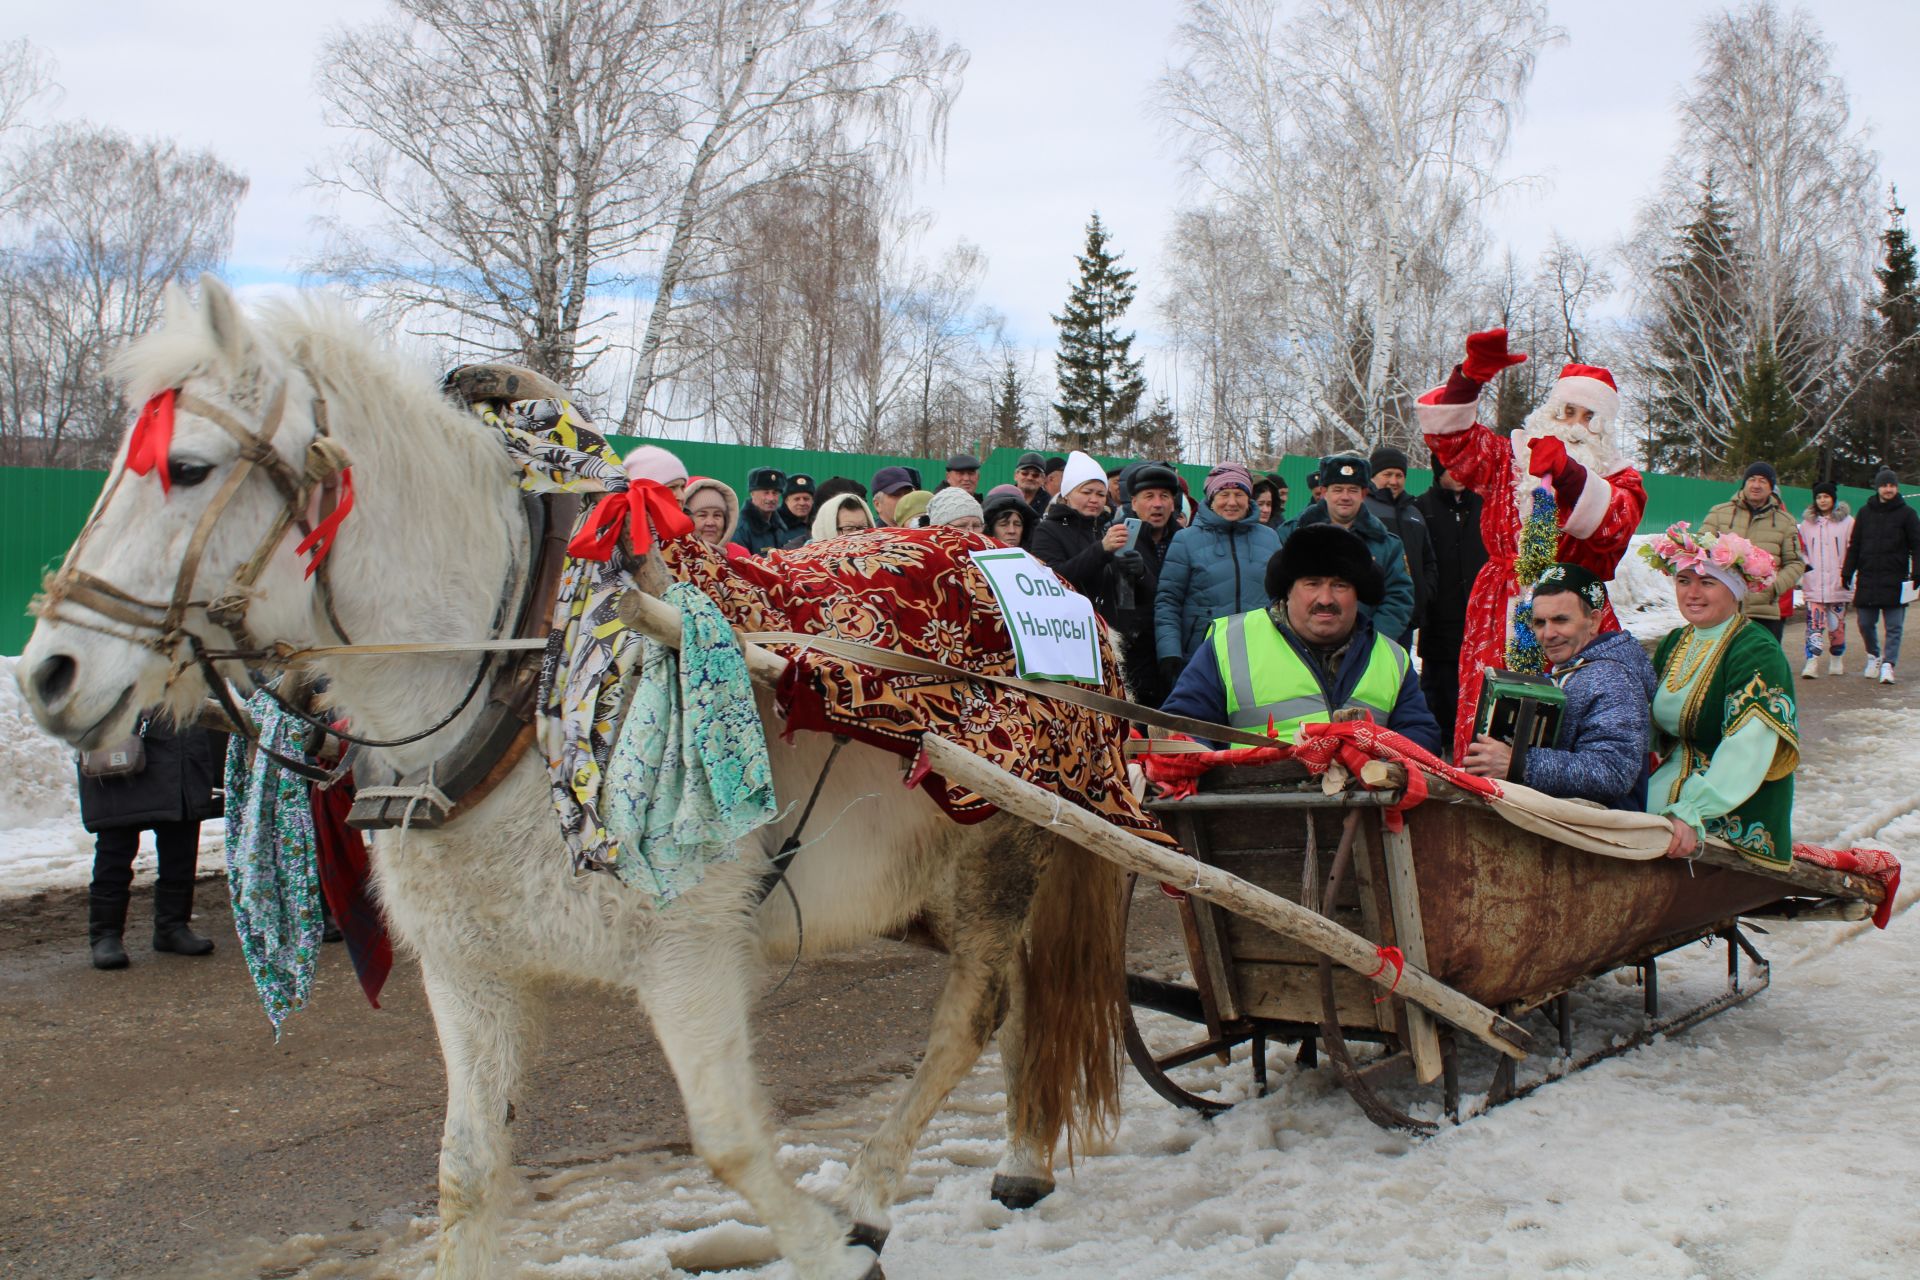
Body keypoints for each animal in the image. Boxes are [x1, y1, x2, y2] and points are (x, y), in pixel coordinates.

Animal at [18, 280, 1121, 1280]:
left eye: (189, 469)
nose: (48, 673)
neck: (525, 680)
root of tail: (1058, 593)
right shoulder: (469, 971)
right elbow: (466, 1171)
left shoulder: (689, 952)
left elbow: (729, 1139)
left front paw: (828, 1248)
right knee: (1026, 995)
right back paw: (1016, 1158)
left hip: (1002, 846)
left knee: (976, 1011)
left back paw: (870, 1192)